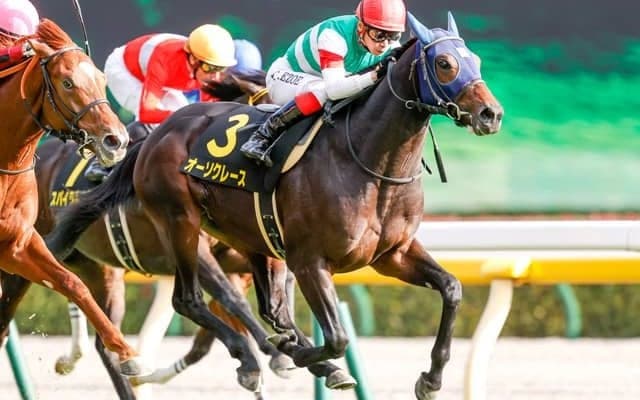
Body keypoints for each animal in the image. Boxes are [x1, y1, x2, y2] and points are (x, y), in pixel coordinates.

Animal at [0, 17, 153, 377]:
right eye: (67, 82)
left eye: (101, 79)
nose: (116, 140)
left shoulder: (17, 244)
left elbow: (72, 283)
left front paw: (127, 352)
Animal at [47, 13, 503, 399]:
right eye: (444, 63)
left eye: (476, 60)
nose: (491, 114)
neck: (370, 164)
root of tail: (157, 136)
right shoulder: (308, 260)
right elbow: (333, 336)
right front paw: (296, 357)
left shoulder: (392, 255)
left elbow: (452, 288)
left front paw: (431, 378)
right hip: (180, 223)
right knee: (188, 301)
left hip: (243, 239)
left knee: (261, 310)